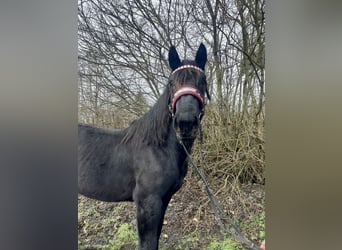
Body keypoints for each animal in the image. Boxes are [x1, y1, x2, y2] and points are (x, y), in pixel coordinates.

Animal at [78, 44, 210, 249]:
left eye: (202, 81)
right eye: (171, 83)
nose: (186, 123)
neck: (157, 149)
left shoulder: (164, 200)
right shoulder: (148, 203)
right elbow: (147, 243)